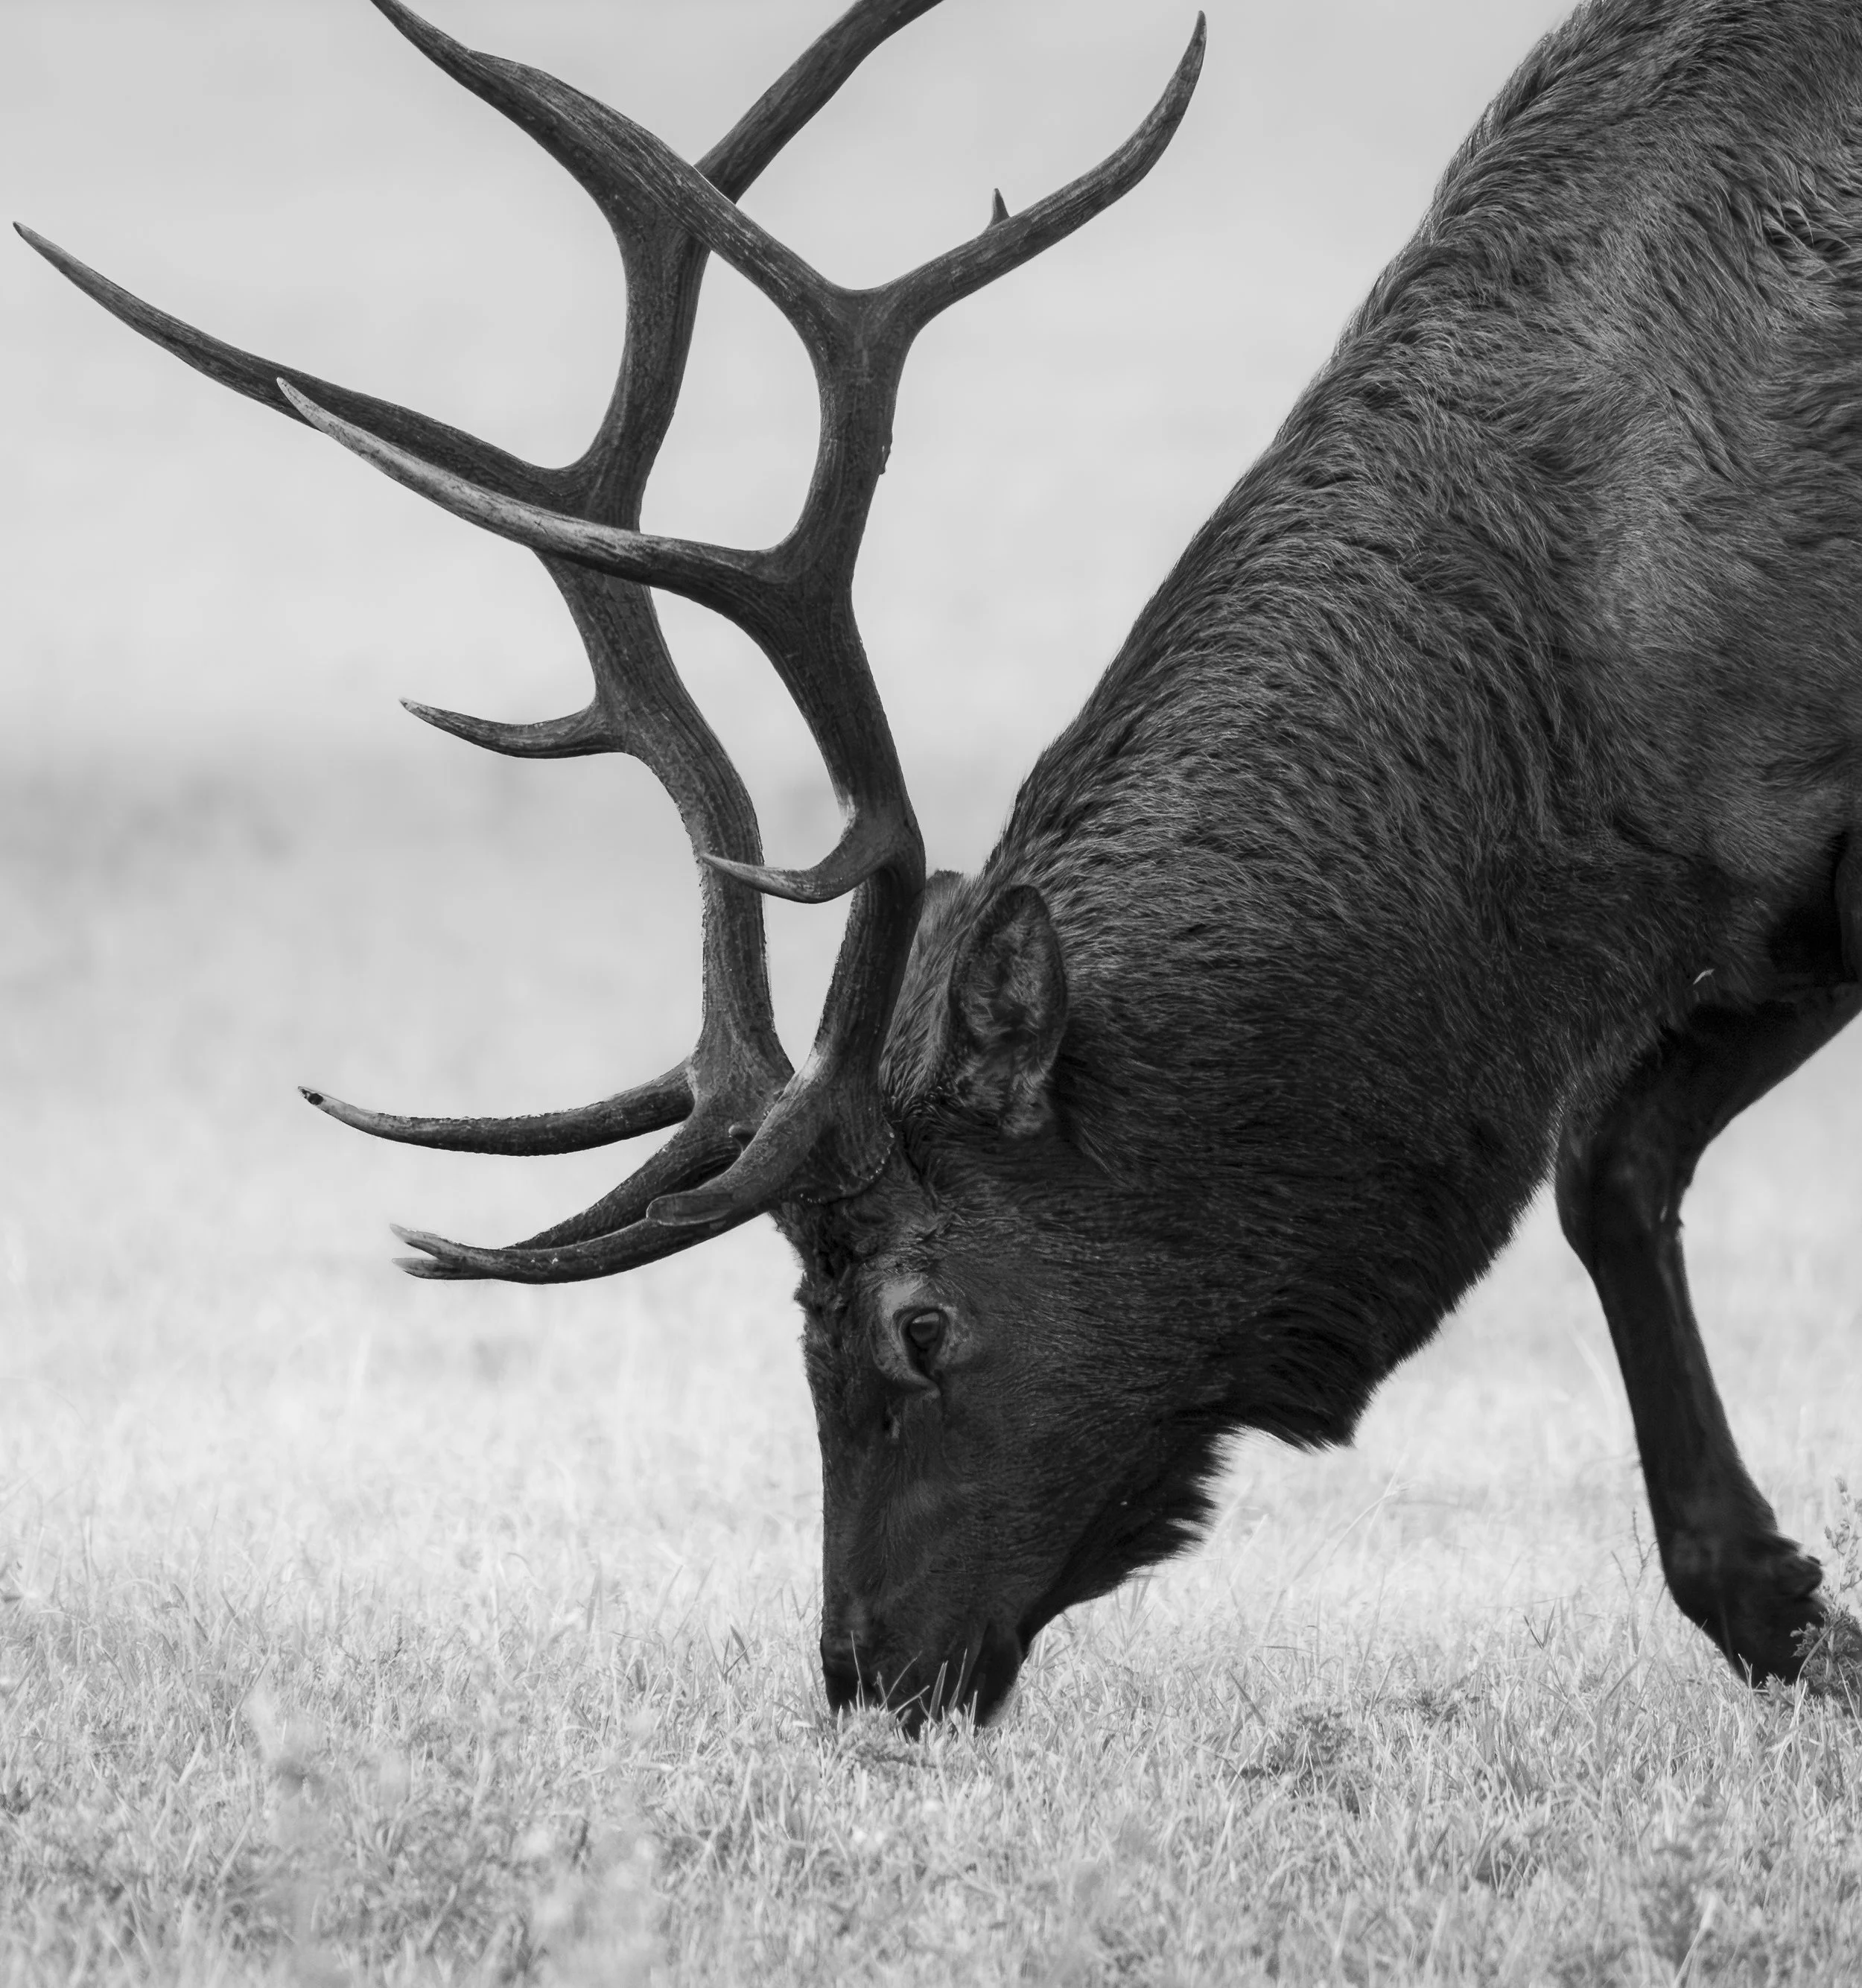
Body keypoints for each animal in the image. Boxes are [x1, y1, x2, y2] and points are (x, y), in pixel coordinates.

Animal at [22, 0, 1862, 1730]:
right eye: (794, 1323)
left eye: (919, 1320)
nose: (864, 1670)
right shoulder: (1769, 898)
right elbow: (1607, 1161)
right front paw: (1784, 1603)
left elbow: (1604, 1152)